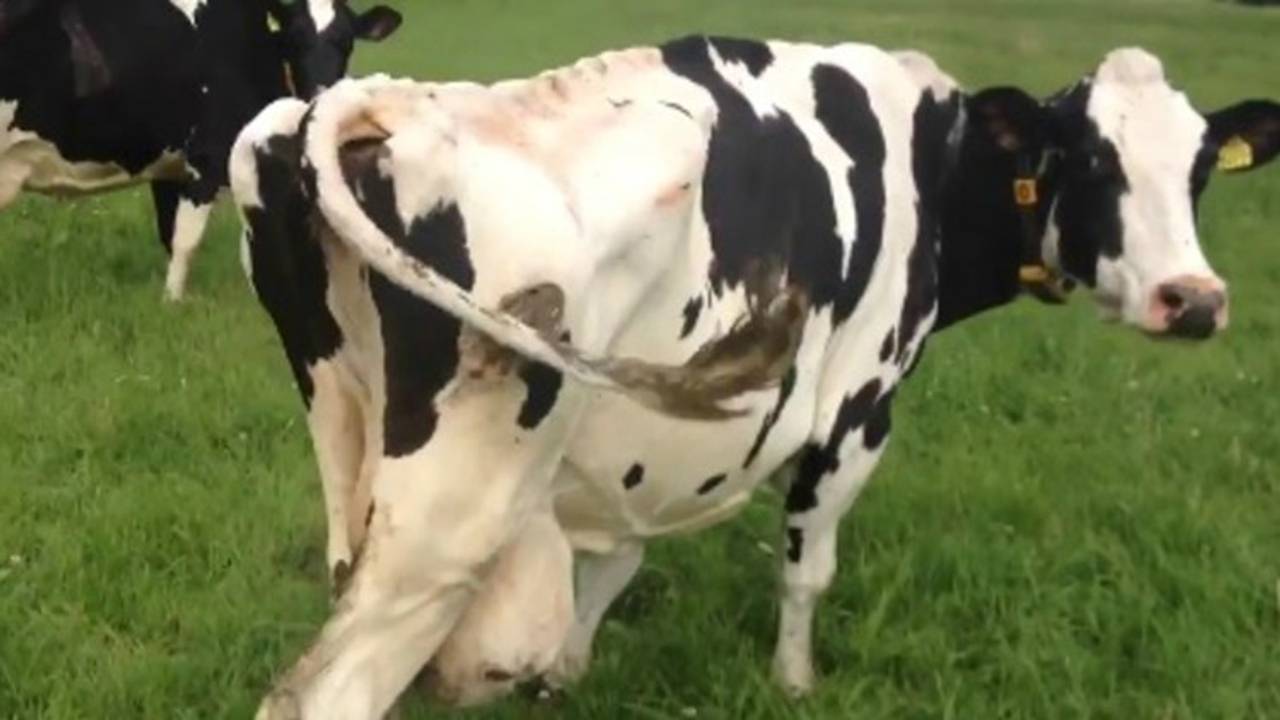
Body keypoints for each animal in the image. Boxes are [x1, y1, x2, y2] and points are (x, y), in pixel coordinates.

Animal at [0, 0, 401, 300]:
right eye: (293, 38)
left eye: (346, 40)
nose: (321, 92)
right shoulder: (208, 159)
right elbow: (186, 241)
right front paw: (172, 303)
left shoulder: (169, 167)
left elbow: (169, 234)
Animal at [228, 37, 1280, 719]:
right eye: (1093, 161)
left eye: (1198, 171)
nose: (1193, 300)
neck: (929, 166)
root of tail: (385, 101)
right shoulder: (859, 414)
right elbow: (807, 570)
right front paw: (795, 683)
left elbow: (617, 562)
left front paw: (566, 670)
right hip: (455, 511)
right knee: (328, 695)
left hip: (348, 441)